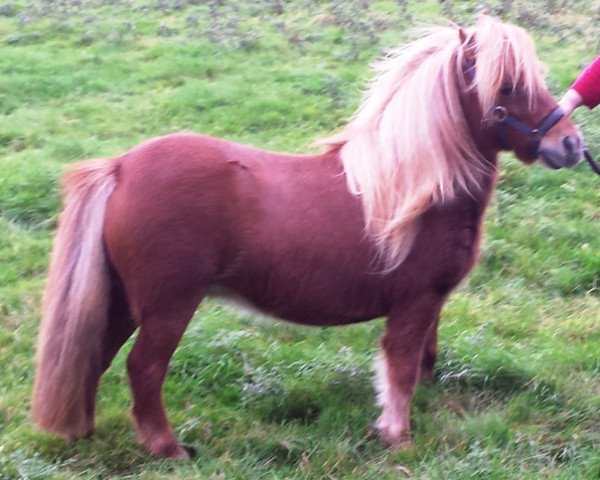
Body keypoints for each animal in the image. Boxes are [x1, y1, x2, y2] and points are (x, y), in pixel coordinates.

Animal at [31, 15, 580, 458]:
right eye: (505, 88)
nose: (571, 143)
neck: (412, 190)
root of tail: (121, 167)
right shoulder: (414, 303)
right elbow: (401, 368)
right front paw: (396, 438)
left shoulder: (431, 305)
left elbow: (423, 361)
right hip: (169, 307)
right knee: (143, 368)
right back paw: (168, 449)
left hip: (124, 301)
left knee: (95, 357)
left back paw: (85, 431)